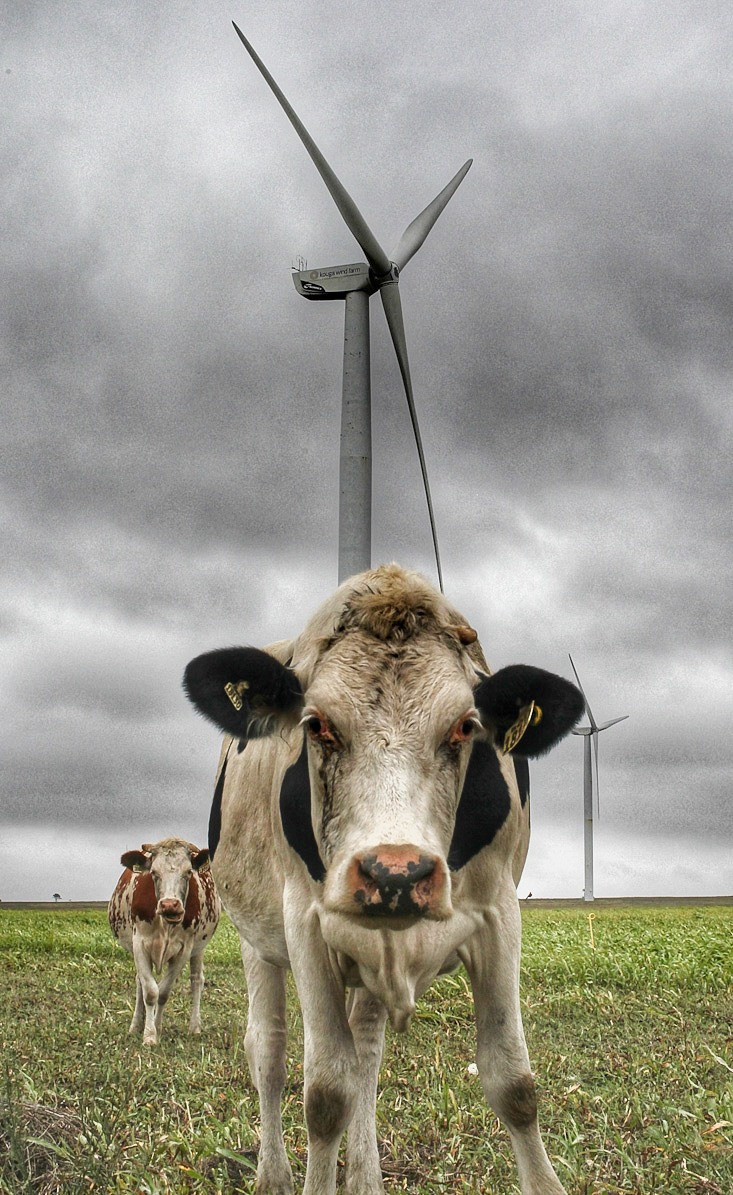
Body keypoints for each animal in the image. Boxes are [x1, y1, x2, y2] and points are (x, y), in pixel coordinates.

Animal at [107, 836, 218, 1042]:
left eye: (188, 872)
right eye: (154, 872)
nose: (170, 905)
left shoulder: (184, 949)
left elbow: (163, 992)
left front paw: (156, 1027)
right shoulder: (139, 944)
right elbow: (150, 991)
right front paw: (149, 1035)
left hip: (200, 948)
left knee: (196, 980)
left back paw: (195, 1027)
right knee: (140, 982)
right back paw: (136, 1025)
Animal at [182, 566, 583, 1195]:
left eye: (465, 727)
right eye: (316, 724)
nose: (397, 873)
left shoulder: (499, 914)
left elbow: (514, 1084)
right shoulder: (305, 923)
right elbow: (325, 1094)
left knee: (365, 1051)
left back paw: (365, 1177)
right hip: (257, 940)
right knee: (267, 1050)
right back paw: (273, 1174)